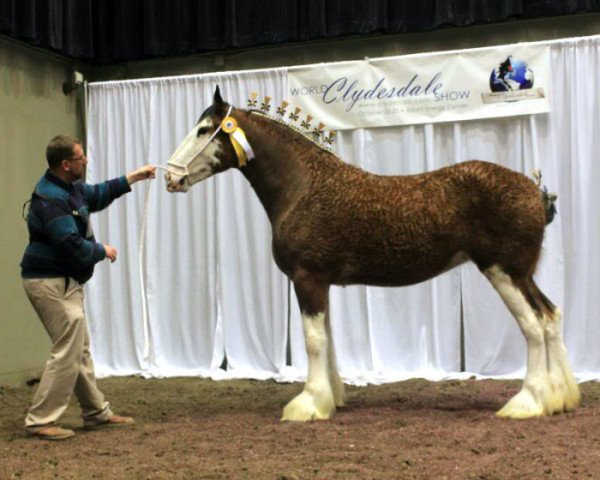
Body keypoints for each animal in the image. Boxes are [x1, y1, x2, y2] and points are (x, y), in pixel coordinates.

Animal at [165, 88, 580, 422]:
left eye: (204, 130)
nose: (170, 176)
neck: (303, 187)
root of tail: (535, 190)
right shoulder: (320, 283)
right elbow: (327, 338)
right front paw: (330, 398)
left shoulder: (307, 278)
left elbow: (313, 340)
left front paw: (308, 404)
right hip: (523, 274)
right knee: (551, 316)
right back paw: (561, 398)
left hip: (503, 271)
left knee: (533, 325)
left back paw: (527, 402)